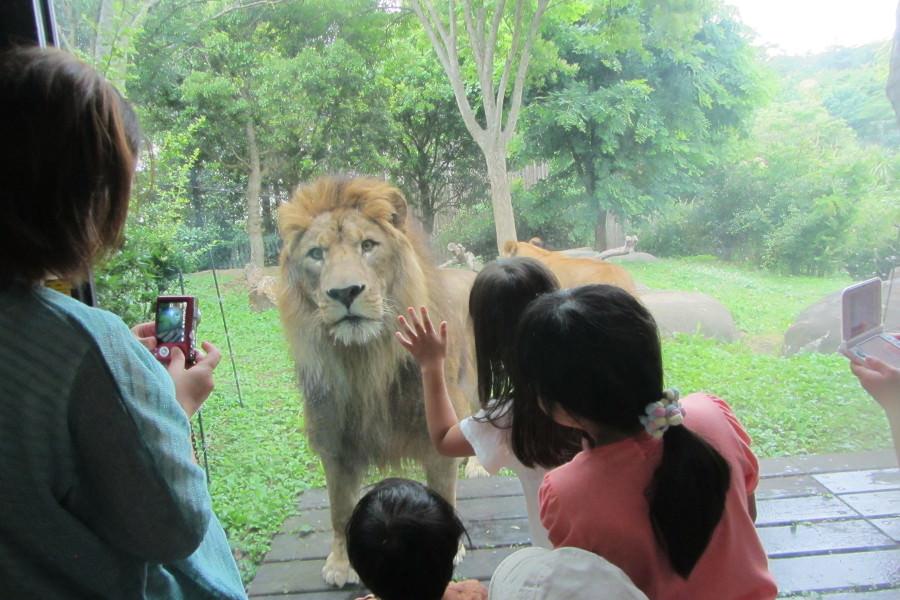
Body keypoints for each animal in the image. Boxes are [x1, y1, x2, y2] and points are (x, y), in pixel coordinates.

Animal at [280, 177, 478, 584]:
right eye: (316, 254)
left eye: (368, 246)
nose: (345, 292)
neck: (366, 359)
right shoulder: (334, 441)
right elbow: (339, 509)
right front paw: (340, 564)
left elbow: (445, 493)